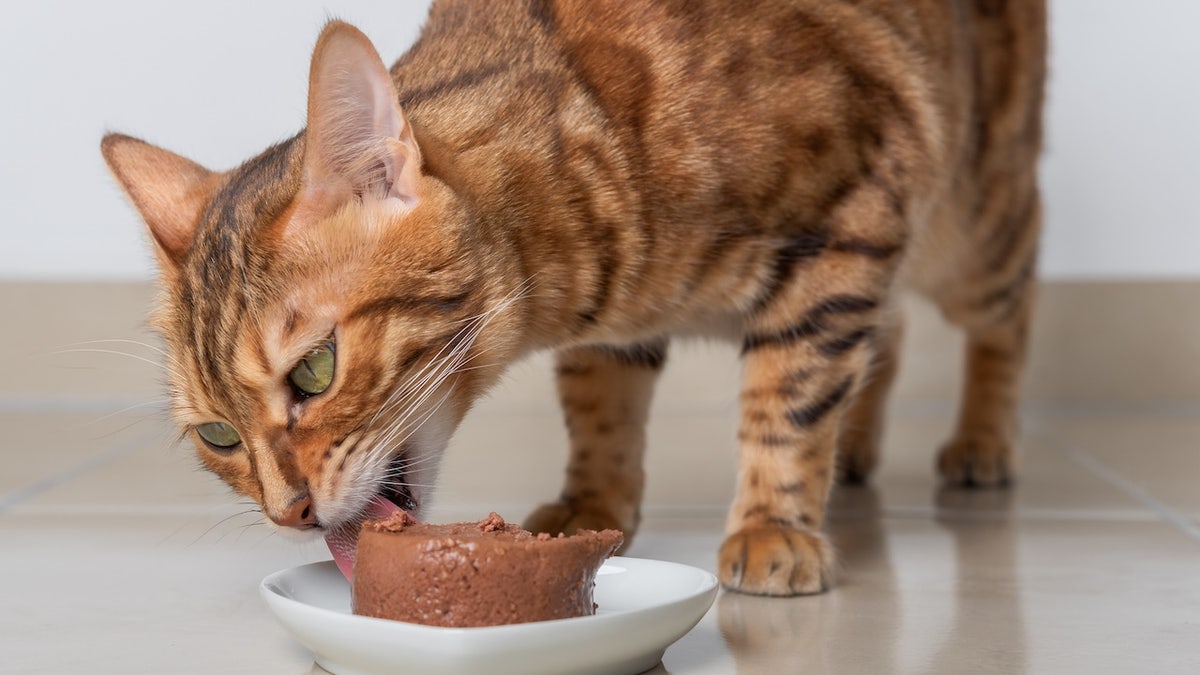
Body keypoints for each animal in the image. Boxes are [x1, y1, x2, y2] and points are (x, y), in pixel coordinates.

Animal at [100, 0, 1041, 593]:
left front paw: (773, 522)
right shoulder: (617, 328)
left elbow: (788, 399)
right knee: (889, 334)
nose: (289, 513)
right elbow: (599, 406)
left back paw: (983, 440)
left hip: (968, 219)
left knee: (1006, 302)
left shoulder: (845, 227)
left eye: (315, 371)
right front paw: (594, 502)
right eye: (218, 436)